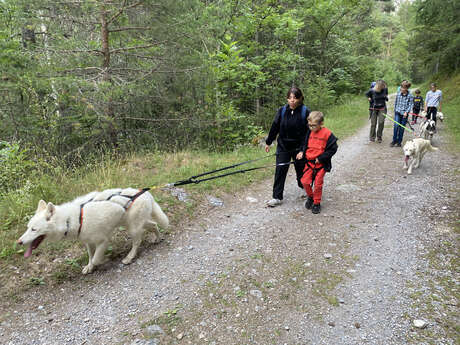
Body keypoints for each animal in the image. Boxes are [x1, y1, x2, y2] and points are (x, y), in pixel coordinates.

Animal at [17, 187, 171, 272]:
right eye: (28, 228)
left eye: (34, 229)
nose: (18, 242)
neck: (73, 219)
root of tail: (145, 193)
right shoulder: (88, 242)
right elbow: (91, 257)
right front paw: (89, 267)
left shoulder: (103, 241)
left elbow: (97, 259)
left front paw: (103, 261)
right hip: (133, 223)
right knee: (154, 225)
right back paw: (157, 239)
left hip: (133, 228)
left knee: (137, 242)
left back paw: (129, 257)